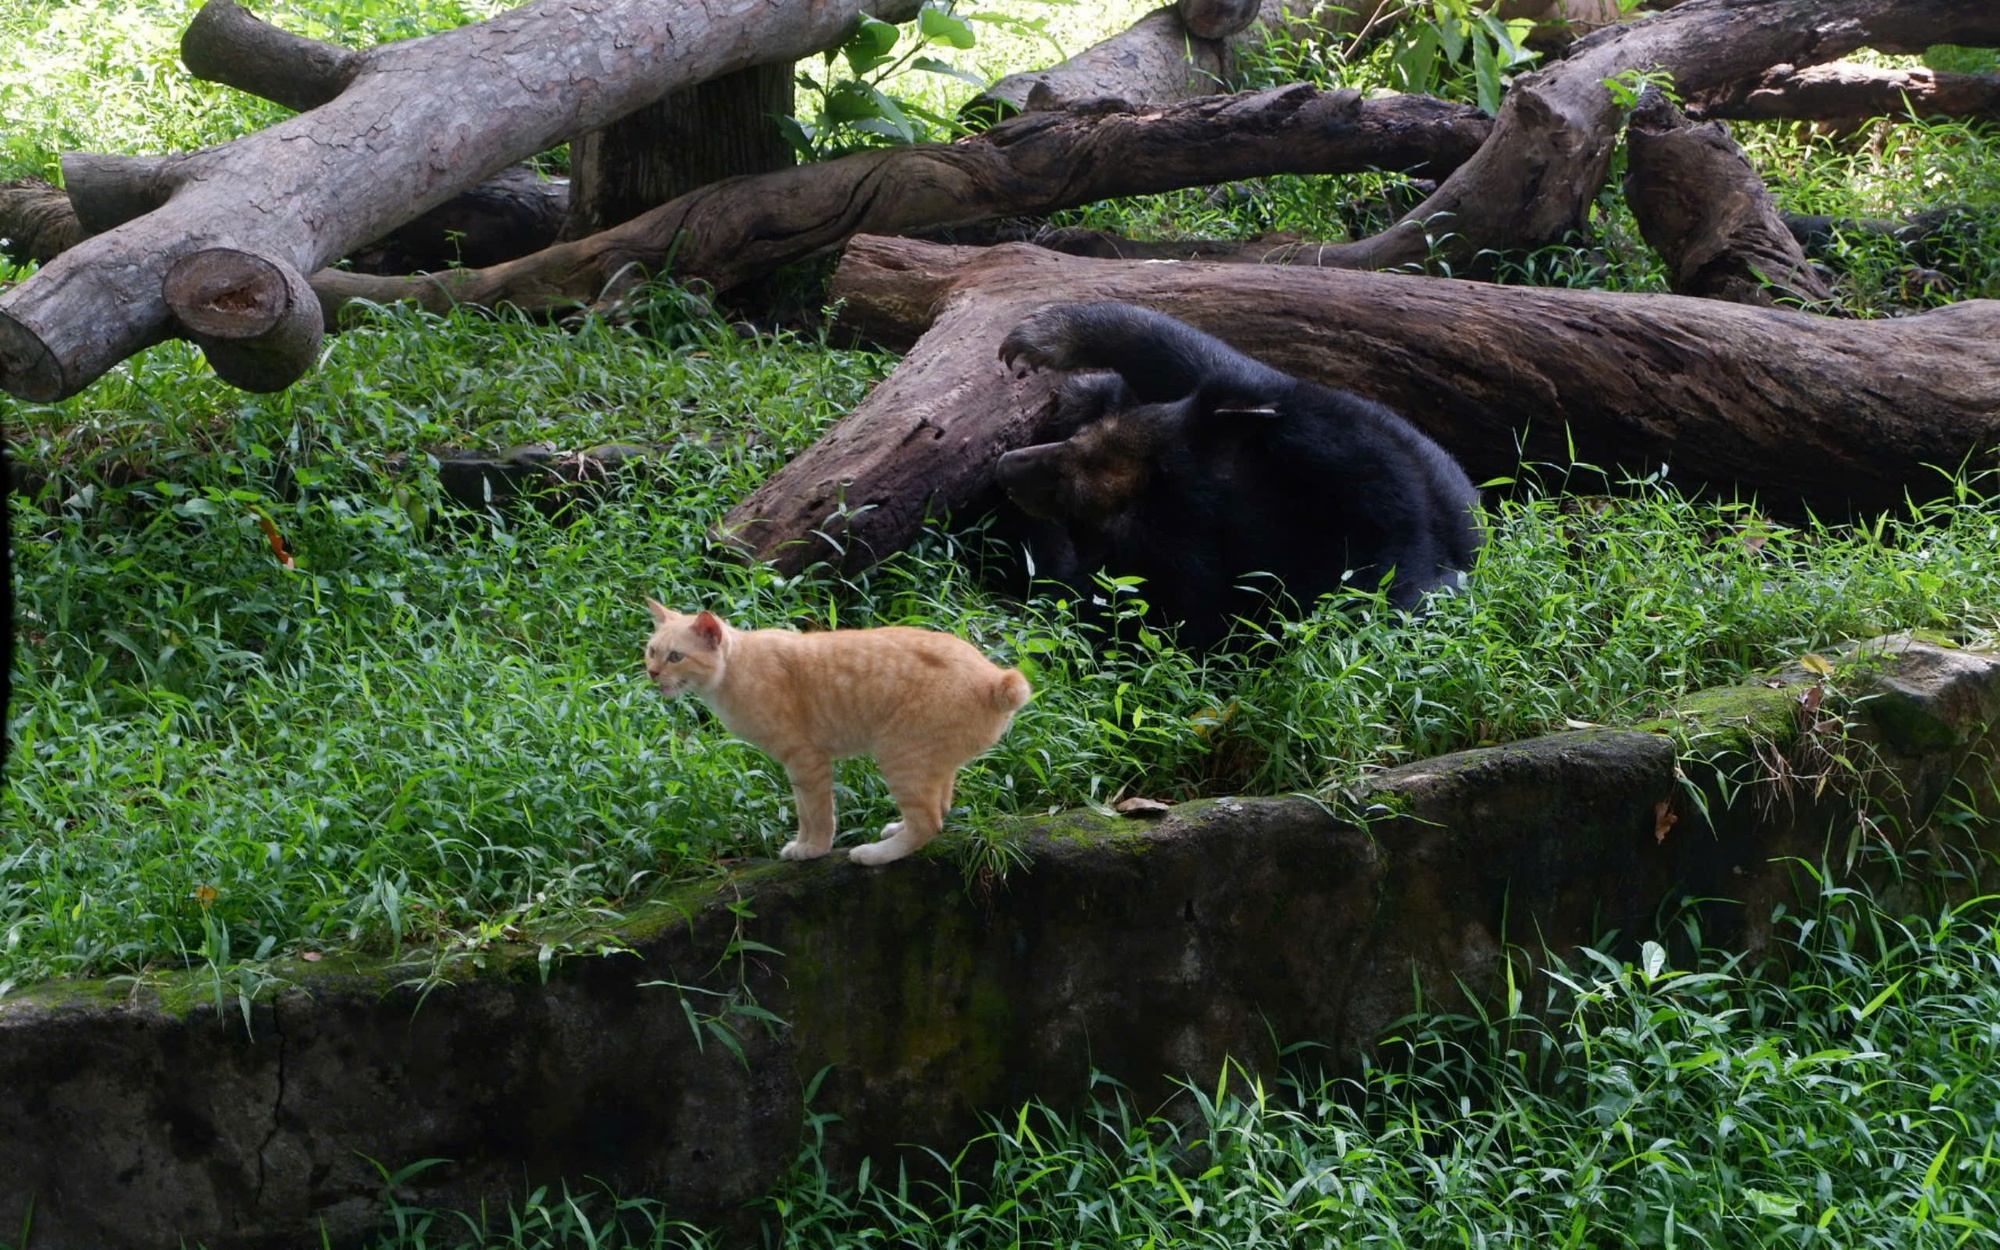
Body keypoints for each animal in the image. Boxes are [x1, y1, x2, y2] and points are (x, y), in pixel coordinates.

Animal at [648, 604, 1040, 856]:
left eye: (675, 657)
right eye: (651, 651)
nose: (651, 673)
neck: (735, 669)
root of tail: (995, 678)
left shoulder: (807, 759)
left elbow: (818, 813)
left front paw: (814, 848)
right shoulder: (796, 767)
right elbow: (804, 811)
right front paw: (803, 843)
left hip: (900, 756)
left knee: (928, 822)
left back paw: (875, 853)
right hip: (931, 762)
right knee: (939, 808)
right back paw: (895, 829)